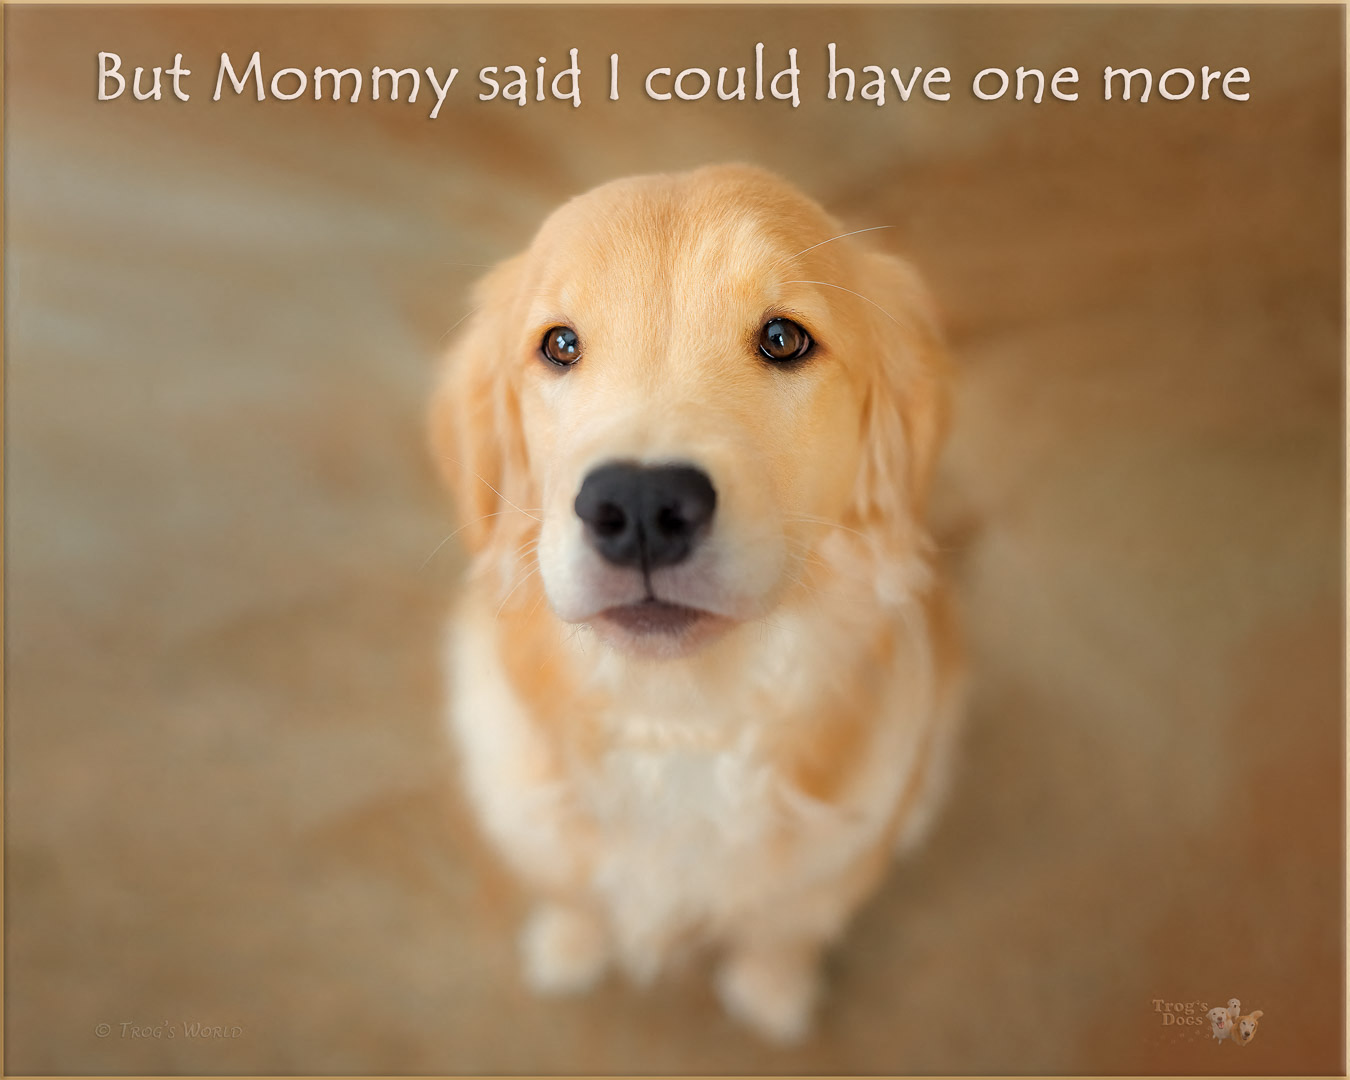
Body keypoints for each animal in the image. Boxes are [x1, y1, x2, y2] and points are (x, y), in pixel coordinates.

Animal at [426, 164, 966, 1042]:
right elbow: (575, 893)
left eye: (784, 338)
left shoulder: (829, 865)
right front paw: (570, 947)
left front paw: (772, 992)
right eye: (560, 344)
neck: (677, 719)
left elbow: (783, 927)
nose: (642, 506)